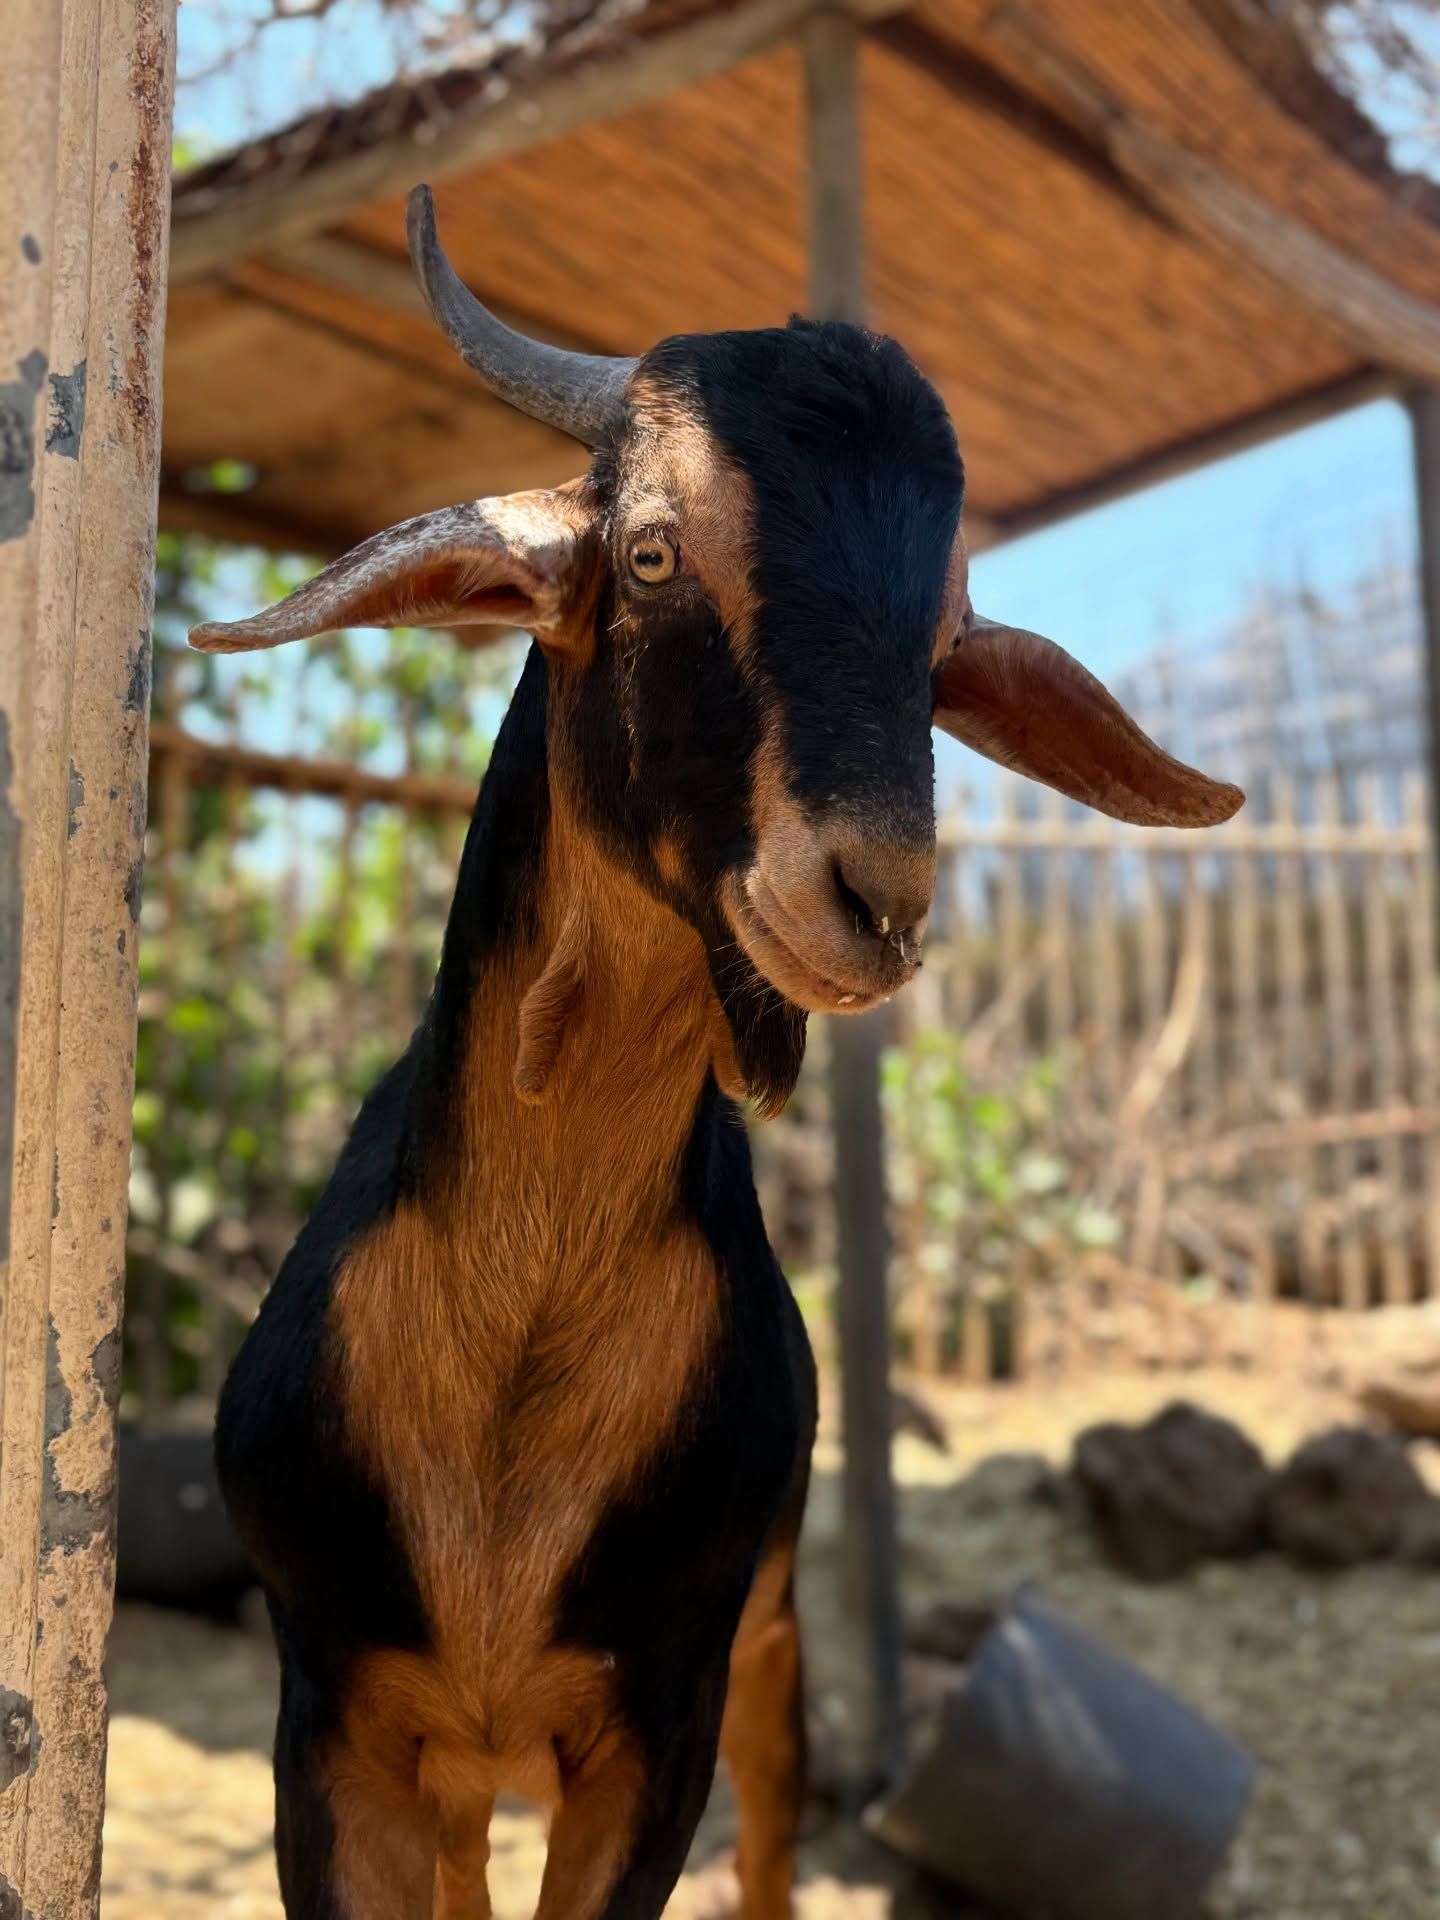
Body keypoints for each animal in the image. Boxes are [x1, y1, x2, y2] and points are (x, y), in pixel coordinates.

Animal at [191, 186, 1243, 1920]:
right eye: (650, 547)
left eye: (947, 639)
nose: (876, 900)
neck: (516, 1352)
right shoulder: (333, 1719)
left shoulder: (662, 1719)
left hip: (768, 1647)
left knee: (770, 1841)